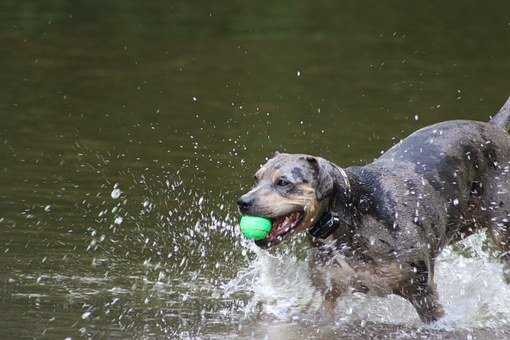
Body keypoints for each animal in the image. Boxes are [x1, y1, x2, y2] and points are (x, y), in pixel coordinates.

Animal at [238, 97, 510, 322]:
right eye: (256, 178)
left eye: (283, 182)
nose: (242, 202)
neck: (348, 215)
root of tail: (494, 128)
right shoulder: (329, 291)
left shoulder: (424, 294)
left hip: (502, 233)